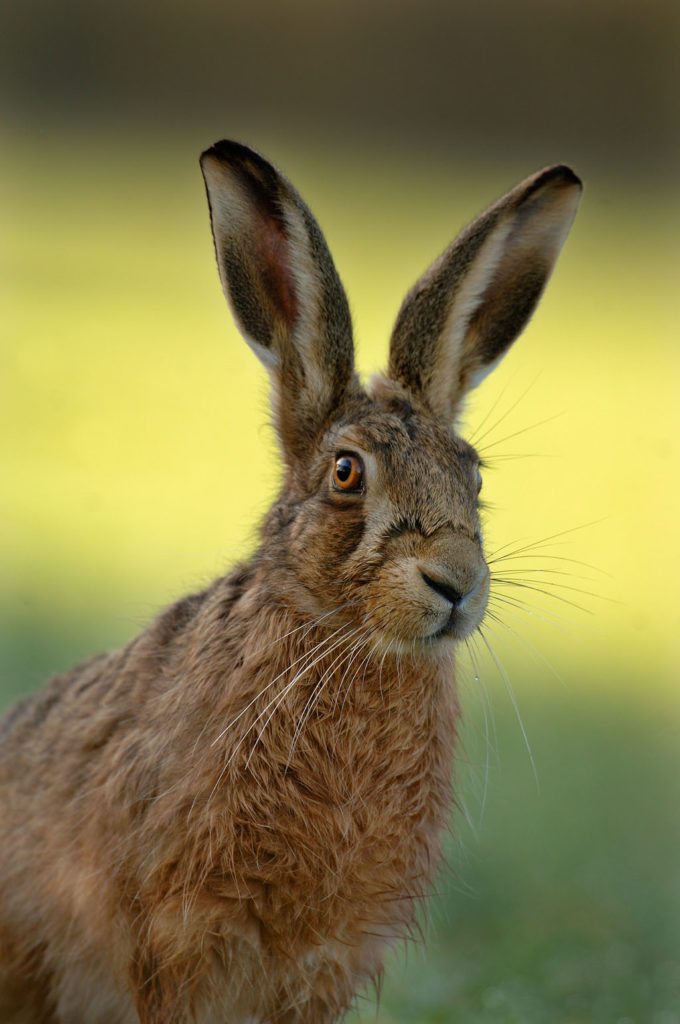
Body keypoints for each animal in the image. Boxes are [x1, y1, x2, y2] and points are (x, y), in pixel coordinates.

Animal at [0, 140, 581, 1024]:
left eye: (473, 476)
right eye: (346, 473)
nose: (455, 584)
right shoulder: (179, 935)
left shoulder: (325, 959)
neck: (339, 639)